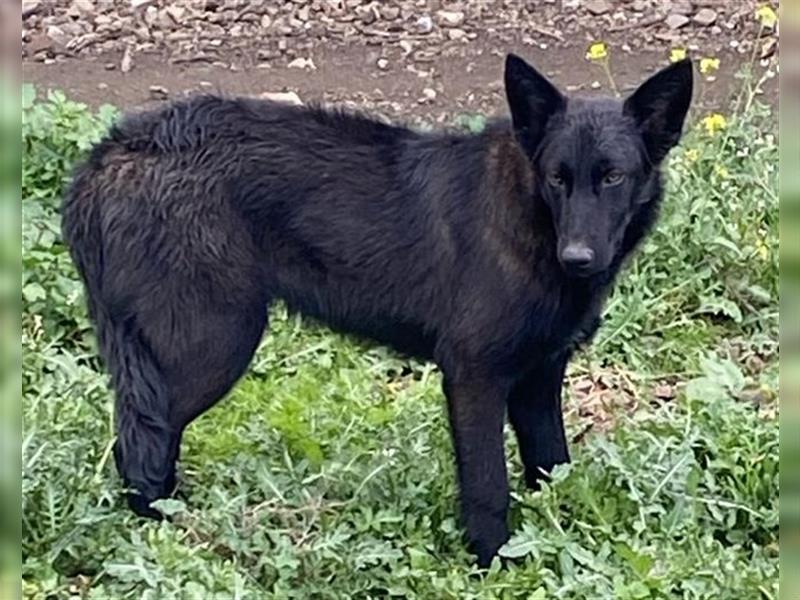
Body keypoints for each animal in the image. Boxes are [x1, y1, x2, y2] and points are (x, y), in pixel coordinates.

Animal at [61, 54, 692, 564]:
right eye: (557, 178)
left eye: (613, 177)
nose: (578, 257)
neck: (529, 218)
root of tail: (107, 156)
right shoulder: (474, 377)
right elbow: (488, 487)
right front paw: (494, 564)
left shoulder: (539, 381)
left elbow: (552, 466)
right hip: (211, 349)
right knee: (138, 445)